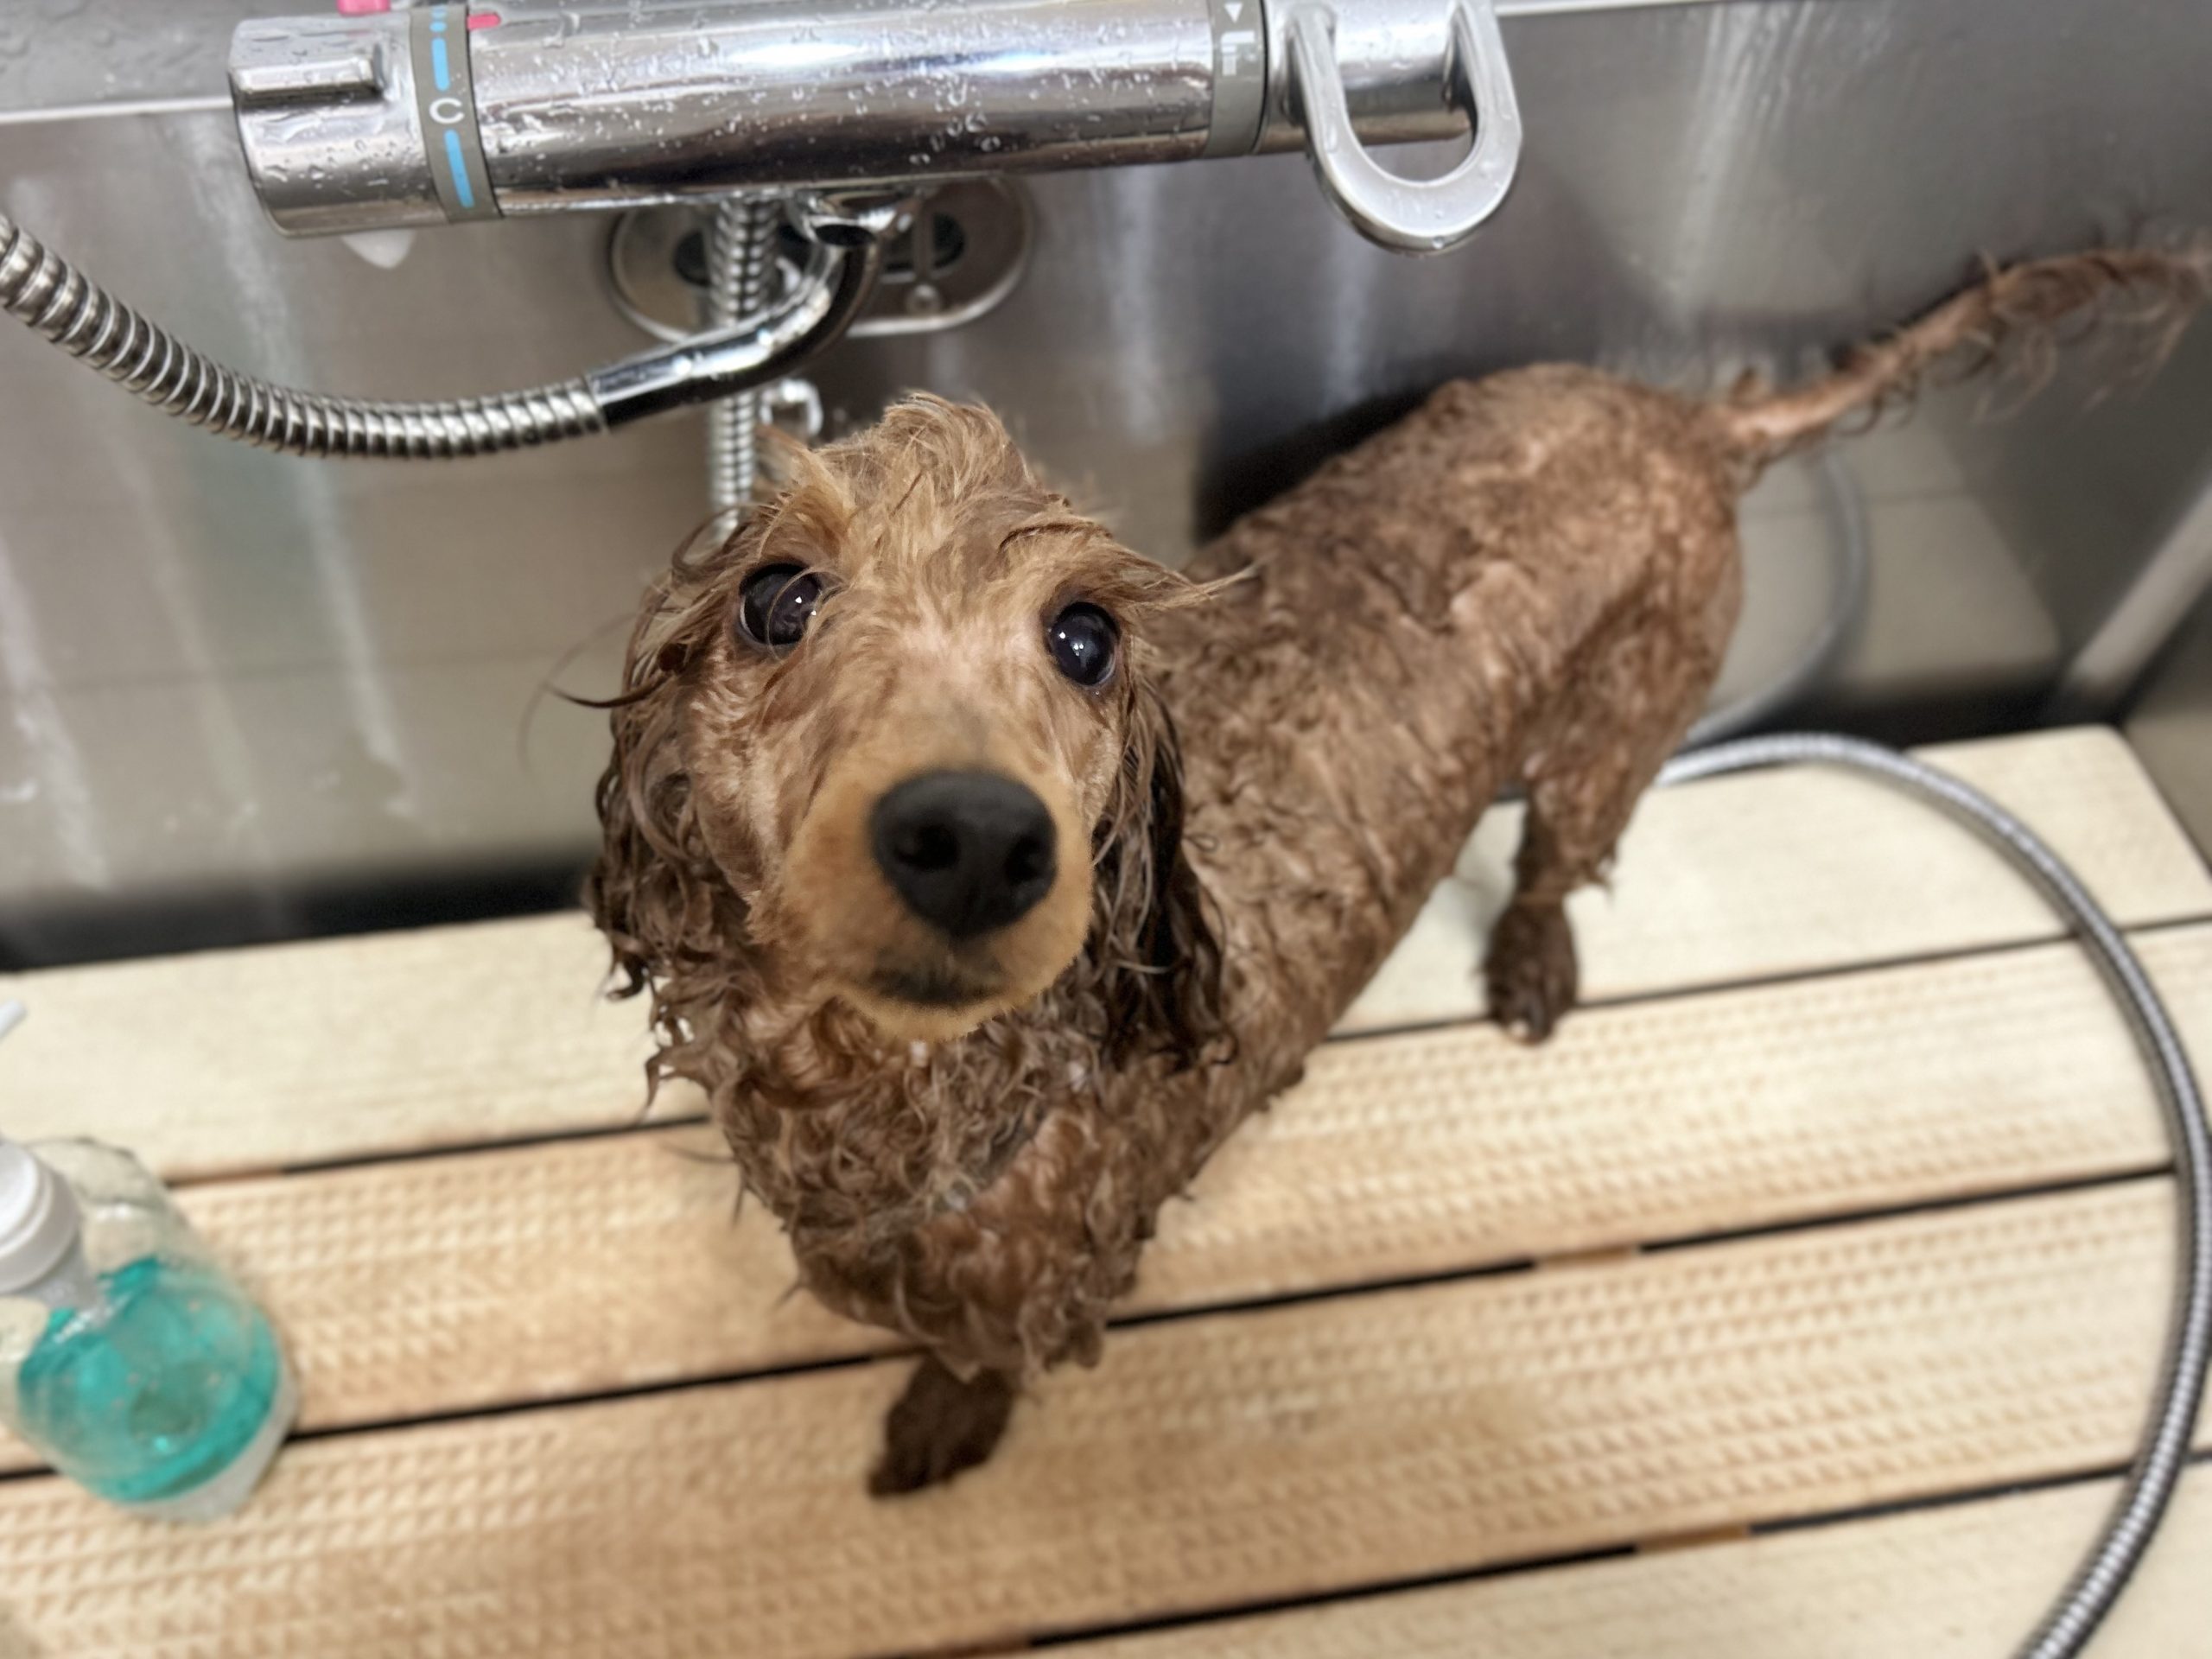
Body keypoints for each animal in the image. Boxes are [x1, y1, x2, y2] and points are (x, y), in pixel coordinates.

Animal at [586, 248, 2206, 1493]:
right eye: (777, 598)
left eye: (1086, 636)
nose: (977, 837)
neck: (907, 1102)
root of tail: (1682, 420)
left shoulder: (1059, 1276)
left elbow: (986, 1364)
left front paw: (943, 1421)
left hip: (1624, 726)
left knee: (1559, 859)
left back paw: (1534, 959)